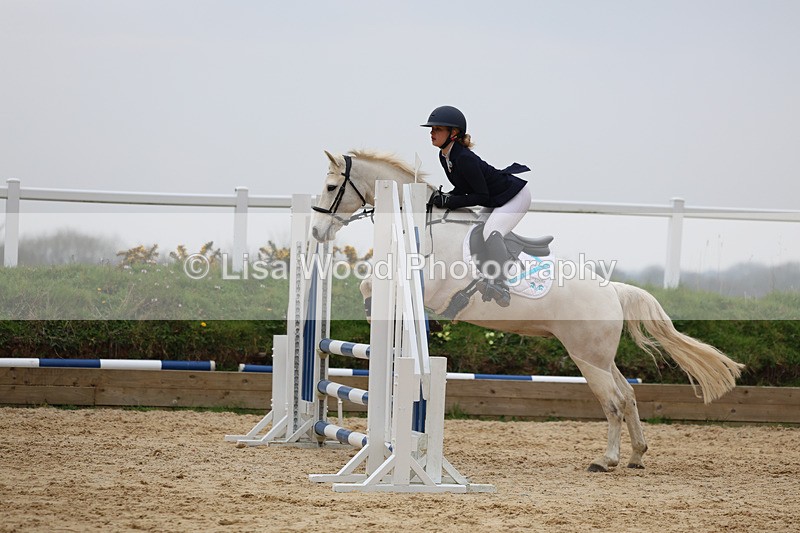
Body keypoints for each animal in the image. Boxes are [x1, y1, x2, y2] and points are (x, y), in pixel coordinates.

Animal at [310, 149, 744, 472]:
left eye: (331, 186)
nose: (316, 232)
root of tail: (614, 291)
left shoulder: (428, 286)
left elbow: (371, 285)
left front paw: (371, 310)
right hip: (600, 357)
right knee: (628, 395)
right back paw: (637, 456)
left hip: (586, 357)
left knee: (614, 402)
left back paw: (606, 461)